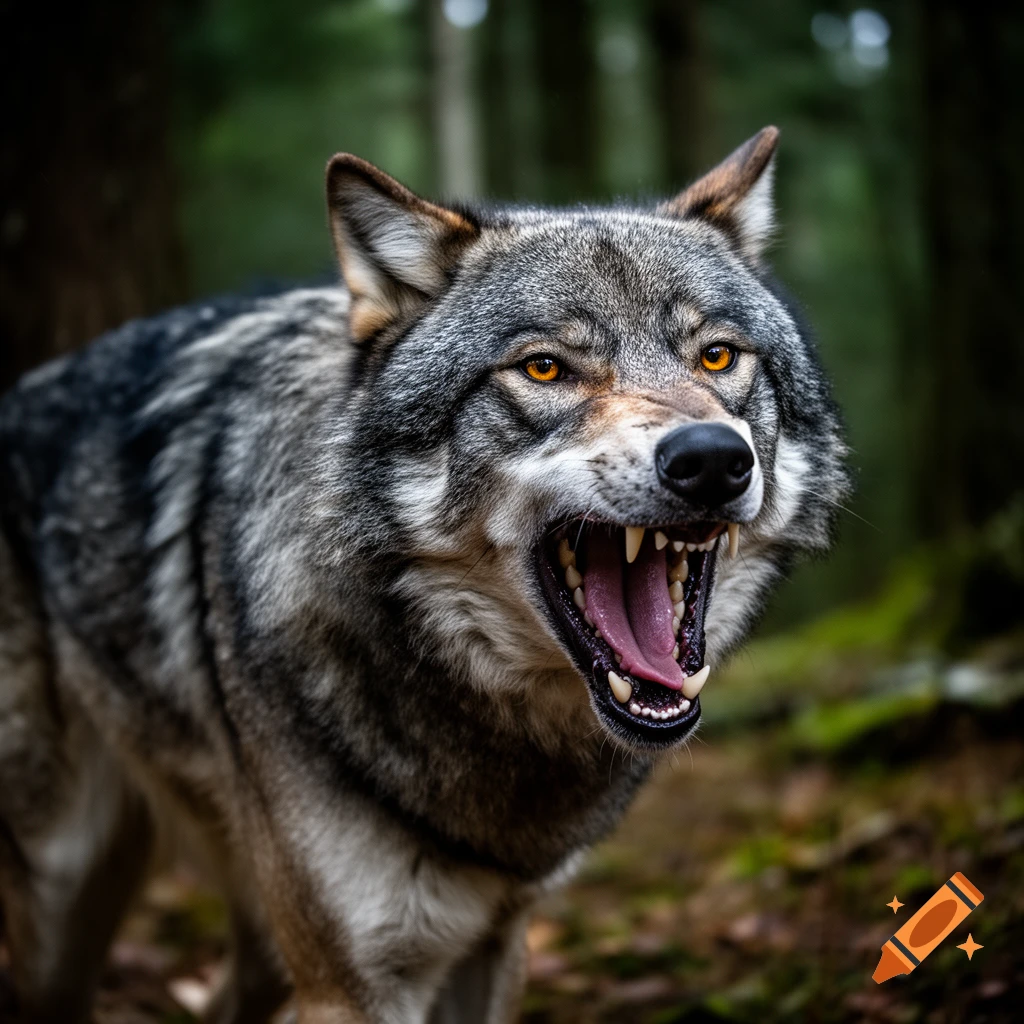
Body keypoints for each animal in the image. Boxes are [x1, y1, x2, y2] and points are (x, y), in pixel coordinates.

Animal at [0, 127, 847, 1023]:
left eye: (717, 356)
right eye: (545, 369)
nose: (713, 459)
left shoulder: (495, 941)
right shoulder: (352, 985)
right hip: (67, 903)